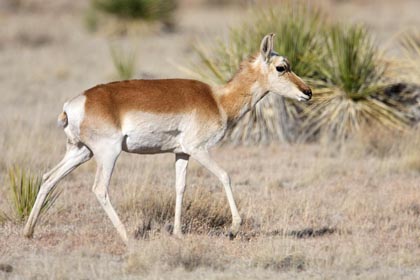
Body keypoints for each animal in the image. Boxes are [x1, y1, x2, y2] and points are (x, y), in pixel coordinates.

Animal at [23, 32, 312, 244]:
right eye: (281, 67)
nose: (308, 92)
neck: (217, 99)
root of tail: (76, 103)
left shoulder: (181, 153)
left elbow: (180, 187)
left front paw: (178, 232)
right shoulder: (199, 150)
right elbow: (225, 176)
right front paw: (233, 228)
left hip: (81, 152)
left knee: (48, 178)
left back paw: (28, 232)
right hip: (108, 154)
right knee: (99, 188)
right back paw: (127, 236)